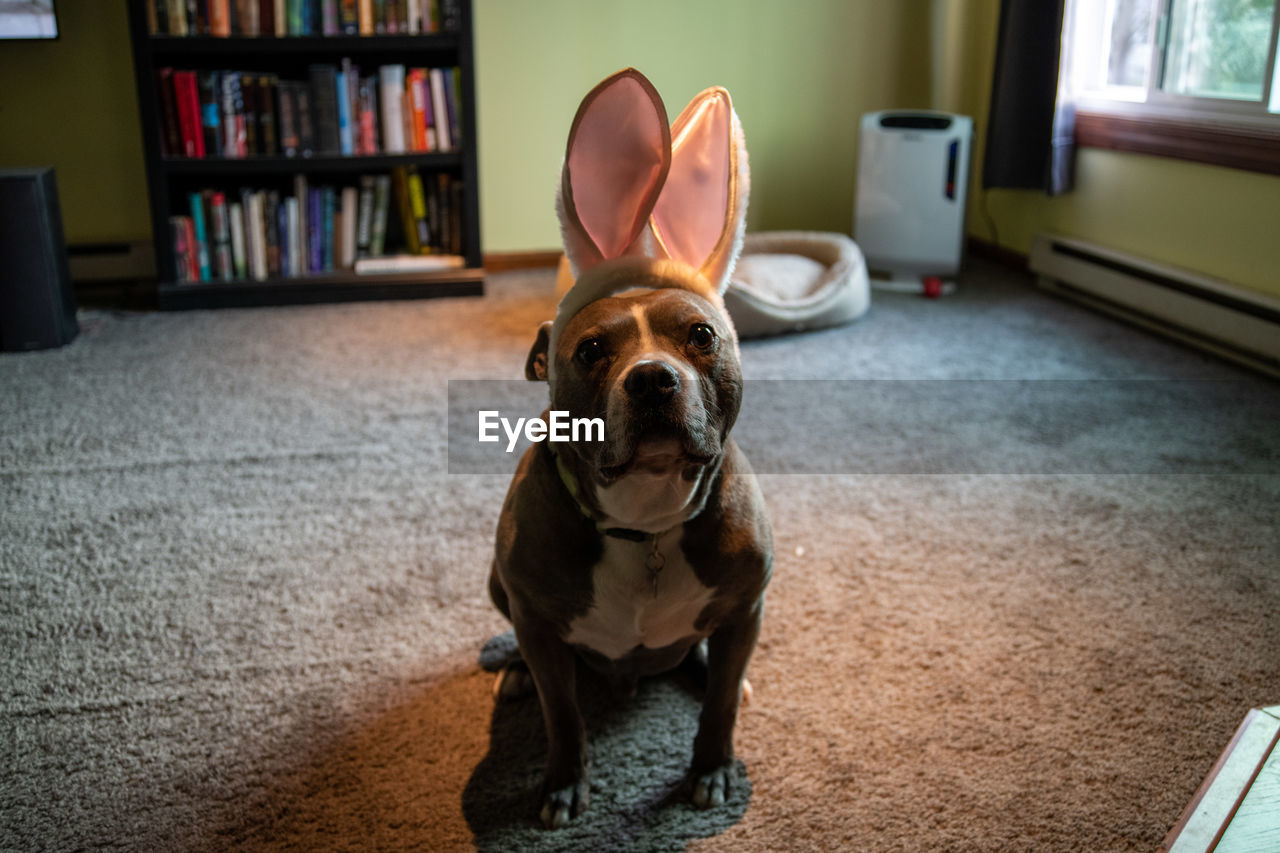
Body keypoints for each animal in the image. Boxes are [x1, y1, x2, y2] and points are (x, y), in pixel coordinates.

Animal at [486, 69, 768, 824]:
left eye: (701, 335)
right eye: (588, 350)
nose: (651, 379)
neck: (646, 519)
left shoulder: (747, 608)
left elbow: (721, 705)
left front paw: (713, 767)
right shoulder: (540, 622)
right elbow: (563, 715)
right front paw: (562, 783)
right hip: (499, 586)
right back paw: (514, 672)